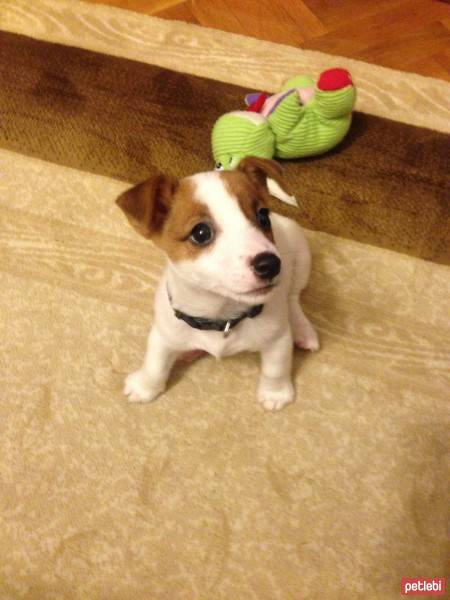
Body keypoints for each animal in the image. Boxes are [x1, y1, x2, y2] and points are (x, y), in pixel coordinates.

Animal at [116, 155, 320, 410]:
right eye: (201, 233)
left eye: (263, 216)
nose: (271, 264)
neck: (221, 315)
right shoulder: (163, 333)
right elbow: (155, 363)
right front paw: (145, 387)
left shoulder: (278, 339)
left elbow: (276, 369)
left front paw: (275, 394)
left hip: (300, 256)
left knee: (293, 297)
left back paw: (303, 330)